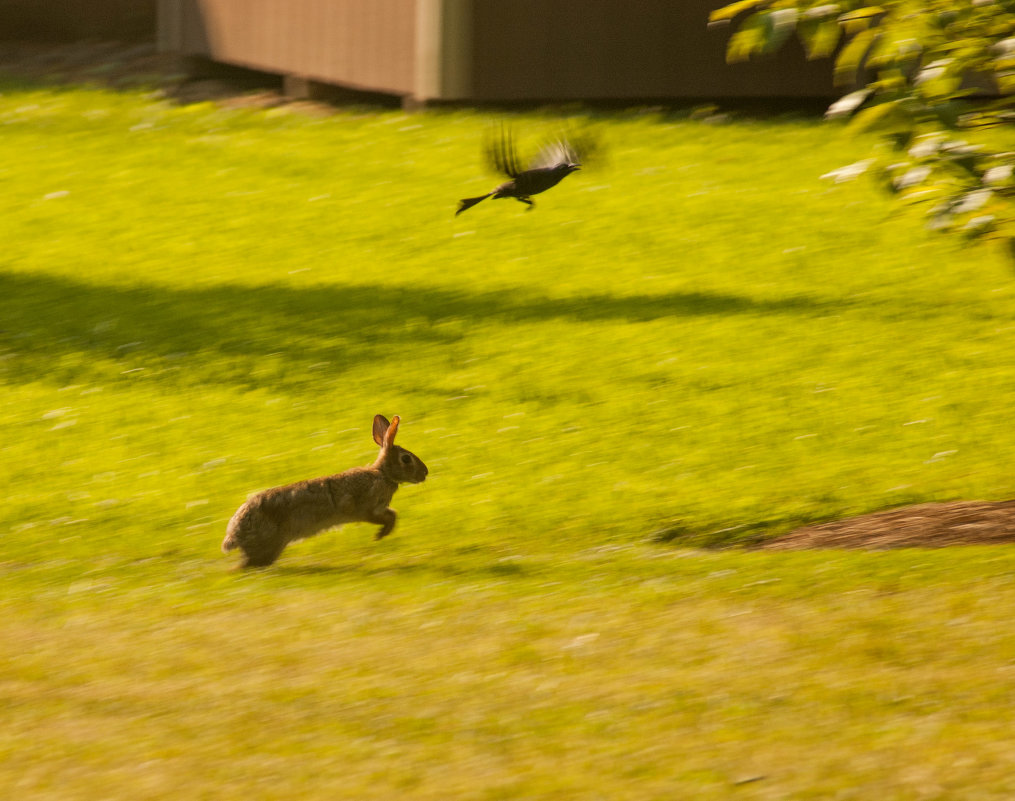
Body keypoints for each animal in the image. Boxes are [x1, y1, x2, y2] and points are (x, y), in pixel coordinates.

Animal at [222, 416, 428, 564]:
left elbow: (393, 514)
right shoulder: (367, 509)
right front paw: (380, 535)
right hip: (268, 545)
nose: (425, 473)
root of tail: (234, 534)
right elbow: (388, 517)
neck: (383, 474)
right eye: (406, 459)